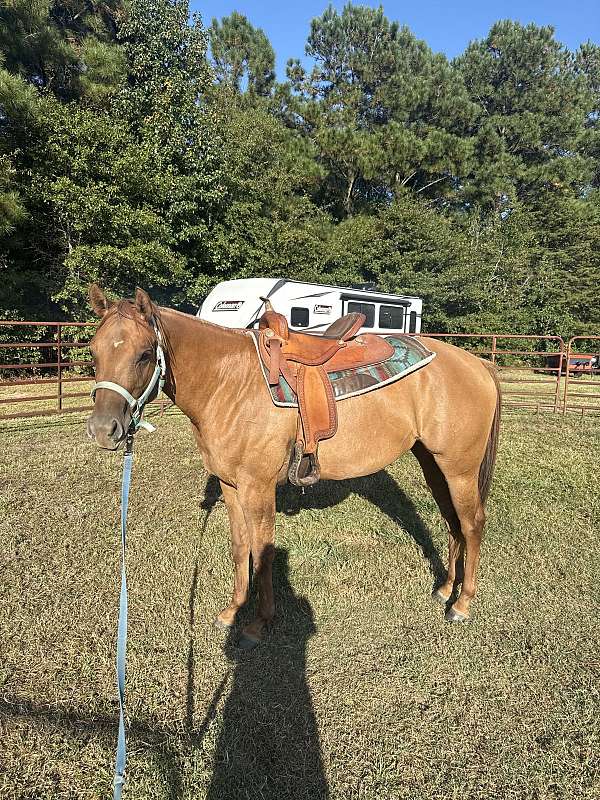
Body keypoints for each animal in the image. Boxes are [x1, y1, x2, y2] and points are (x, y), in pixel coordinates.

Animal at [86, 285, 501, 648]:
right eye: (93, 351)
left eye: (144, 354)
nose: (104, 429)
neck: (228, 382)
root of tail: (477, 363)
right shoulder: (231, 486)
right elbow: (240, 547)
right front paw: (233, 611)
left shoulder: (258, 488)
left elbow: (263, 552)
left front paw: (258, 624)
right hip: (434, 464)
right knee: (452, 522)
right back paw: (444, 590)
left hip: (460, 470)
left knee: (472, 524)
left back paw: (462, 604)